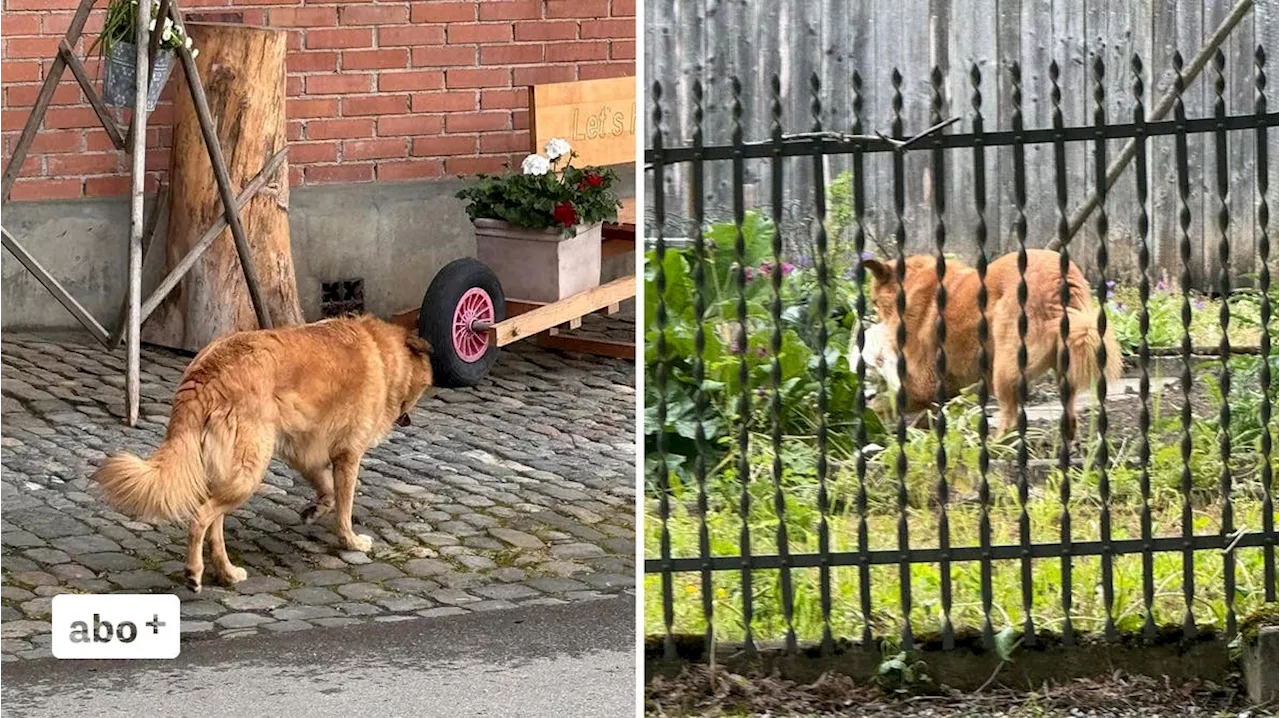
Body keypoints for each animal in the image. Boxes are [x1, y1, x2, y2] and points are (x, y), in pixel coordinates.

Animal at [91, 316, 435, 591]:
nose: (409, 419)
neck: (383, 353)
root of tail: (206, 373)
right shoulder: (348, 456)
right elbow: (344, 506)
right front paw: (350, 540)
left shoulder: (305, 453)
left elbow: (326, 491)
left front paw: (314, 511)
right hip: (248, 472)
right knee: (201, 517)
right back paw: (194, 572)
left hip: (229, 473)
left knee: (214, 523)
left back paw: (227, 573)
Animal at [860, 245, 1121, 440]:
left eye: (874, 301)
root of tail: (1060, 281)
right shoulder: (947, 387)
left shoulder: (925, 383)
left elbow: (885, 403)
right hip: (1062, 369)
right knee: (1068, 415)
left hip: (1003, 368)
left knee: (1010, 418)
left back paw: (995, 444)